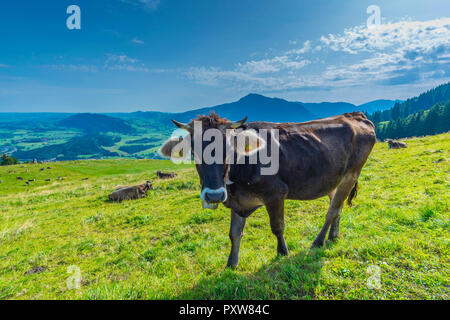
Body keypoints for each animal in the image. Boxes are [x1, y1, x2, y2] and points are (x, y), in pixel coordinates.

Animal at [161, 112, 376, 268]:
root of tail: (355, 115)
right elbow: (234, 233)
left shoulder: (275, 194)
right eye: (193, 151)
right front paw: (231, 264)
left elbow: (277, 227)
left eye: (228, 148)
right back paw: (333, 237)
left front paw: (283, 252)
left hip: (351, 174)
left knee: (332, 211)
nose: (214, 195)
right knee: (337, 208)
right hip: (334, 179)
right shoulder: (237, 200)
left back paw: (318, 241)